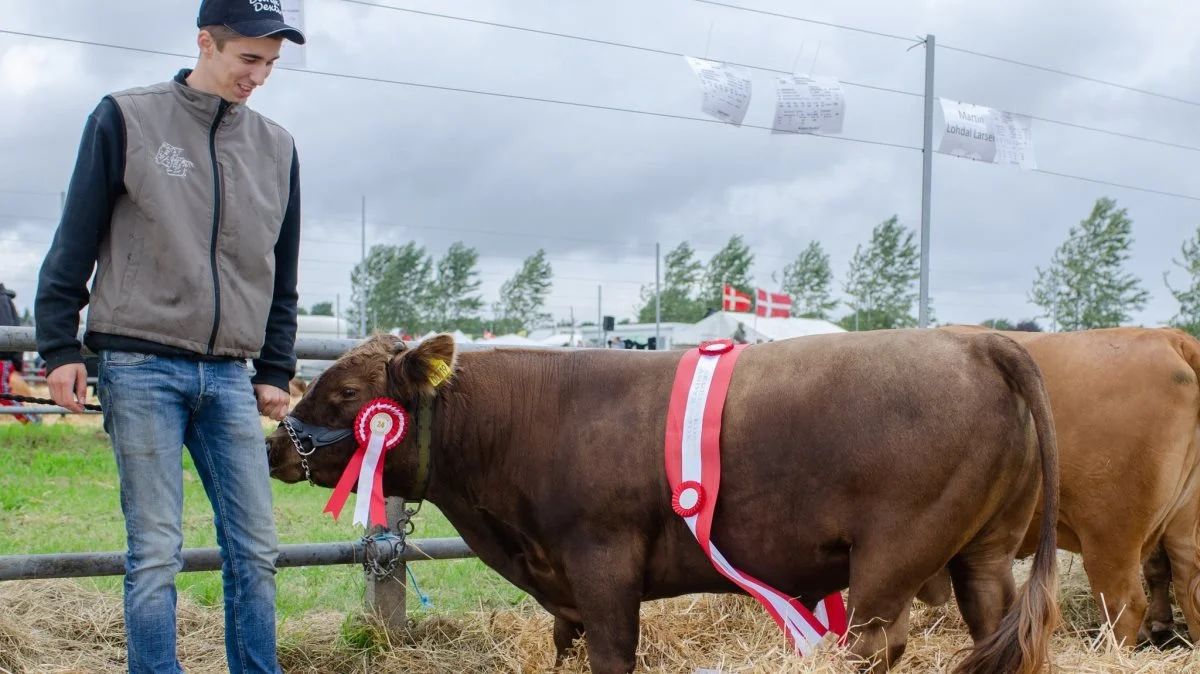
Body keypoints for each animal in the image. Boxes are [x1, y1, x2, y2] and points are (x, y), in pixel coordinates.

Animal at [270, 328, 1060, 666]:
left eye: (345, 393)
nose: (277, 444)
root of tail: (977, 341)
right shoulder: (562, 583)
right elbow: (564, 645)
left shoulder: (602, 559)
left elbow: (613, 654)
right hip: (986, 551)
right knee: (1000, 630)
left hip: (894, 550)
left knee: (874, 645)